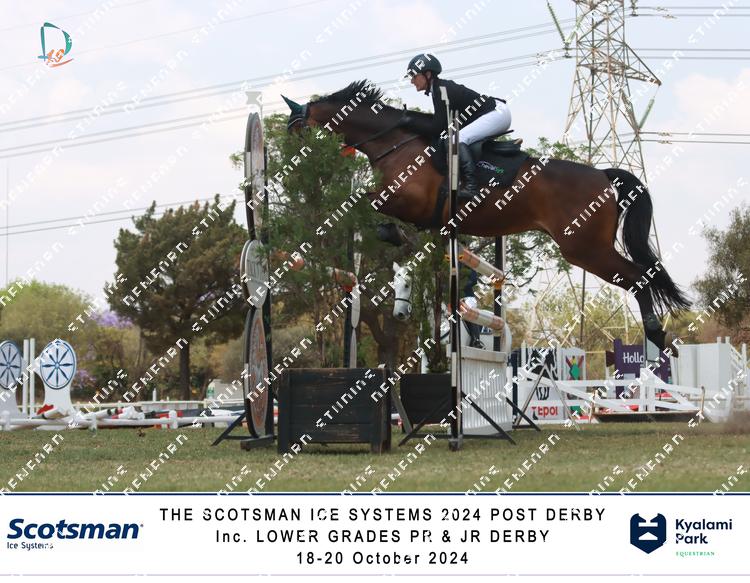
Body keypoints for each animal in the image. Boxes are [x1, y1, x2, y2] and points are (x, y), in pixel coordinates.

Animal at [282, 80, 690, 355]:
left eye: (296, 129)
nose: (293, 165)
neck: (393, 142)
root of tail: (603, 174)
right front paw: (395, 238)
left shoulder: (404, 200)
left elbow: (364, 204)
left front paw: (391, 234)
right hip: (587, 248)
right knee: (641, 277)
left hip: (584, 248)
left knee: (638, 279)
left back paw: (657, 336)